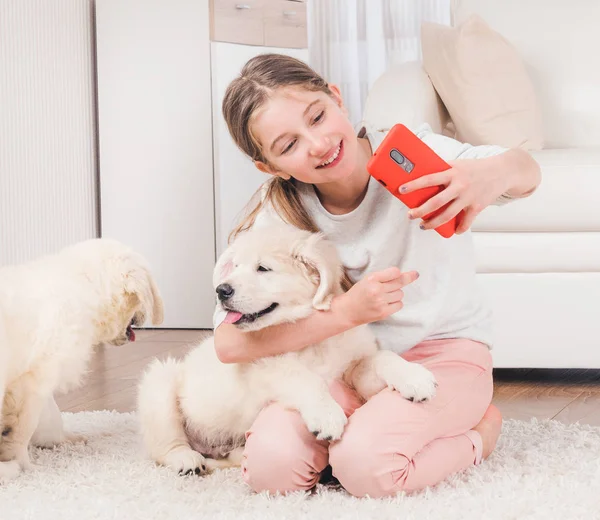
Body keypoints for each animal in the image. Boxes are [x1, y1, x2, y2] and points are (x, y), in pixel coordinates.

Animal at [138, 225, 434, 478]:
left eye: (263, 268)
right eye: (236, 267)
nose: (221, 290)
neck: (310, 337)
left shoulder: (354, 370)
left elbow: (381, 357)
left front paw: (415, 378)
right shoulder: (263, 367)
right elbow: (305, 377)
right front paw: (327, 416)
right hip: (162, 381)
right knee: (164, 446)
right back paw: (186, 460)